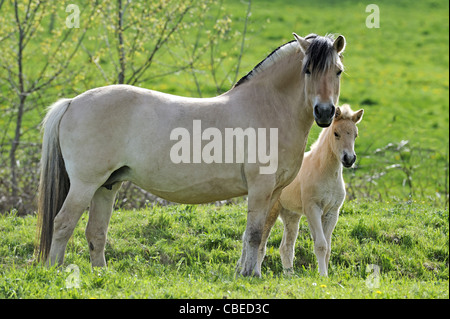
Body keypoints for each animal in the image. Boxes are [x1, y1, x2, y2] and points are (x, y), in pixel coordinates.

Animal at [37, 33, 346, 278]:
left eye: (338, 71)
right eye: (307, 70)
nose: (324, 112)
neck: (268, 108)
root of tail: (72, 102)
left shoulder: (274, 192)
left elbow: (260, 236)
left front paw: (252, 272)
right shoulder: (260, 188)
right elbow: (254, 234)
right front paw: (248, 275)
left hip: (107, 186)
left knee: (95, 233)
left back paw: (102, 275)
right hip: (85, 184)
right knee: (62, 224)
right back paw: (55, 272)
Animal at [258, 105, 364, 278]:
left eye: (355, 134)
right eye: (336, 133)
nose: (349, 159)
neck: (325, 171)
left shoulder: (332, 212)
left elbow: (327, 247)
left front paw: (325, 274)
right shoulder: (313, 208)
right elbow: (321, 245)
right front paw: (323, 275)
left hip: (291, 215)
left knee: (286, 247)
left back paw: (290, 276)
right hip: (271, 210)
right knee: (260, 242)